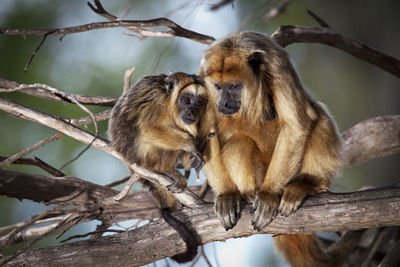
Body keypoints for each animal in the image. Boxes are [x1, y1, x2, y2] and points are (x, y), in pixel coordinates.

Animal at [108, 71, 209, 264]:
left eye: (199, 103)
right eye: (186, 100)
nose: (191, 112)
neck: (170, 105)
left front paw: (193, 155)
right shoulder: (156, 100)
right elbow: (148, 129)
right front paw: (190, 145)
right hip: (144, 157)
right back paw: (165, 170)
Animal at [198, 31, 342, 267]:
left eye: (234, 86)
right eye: (218, 87)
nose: (224, 104)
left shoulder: (277, 67)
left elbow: (296, 126)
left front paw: (268, 195)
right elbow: (205, 137)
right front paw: (227, 194)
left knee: (319, 118)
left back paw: (307, 183)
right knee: (239, 142)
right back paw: (248, 192)